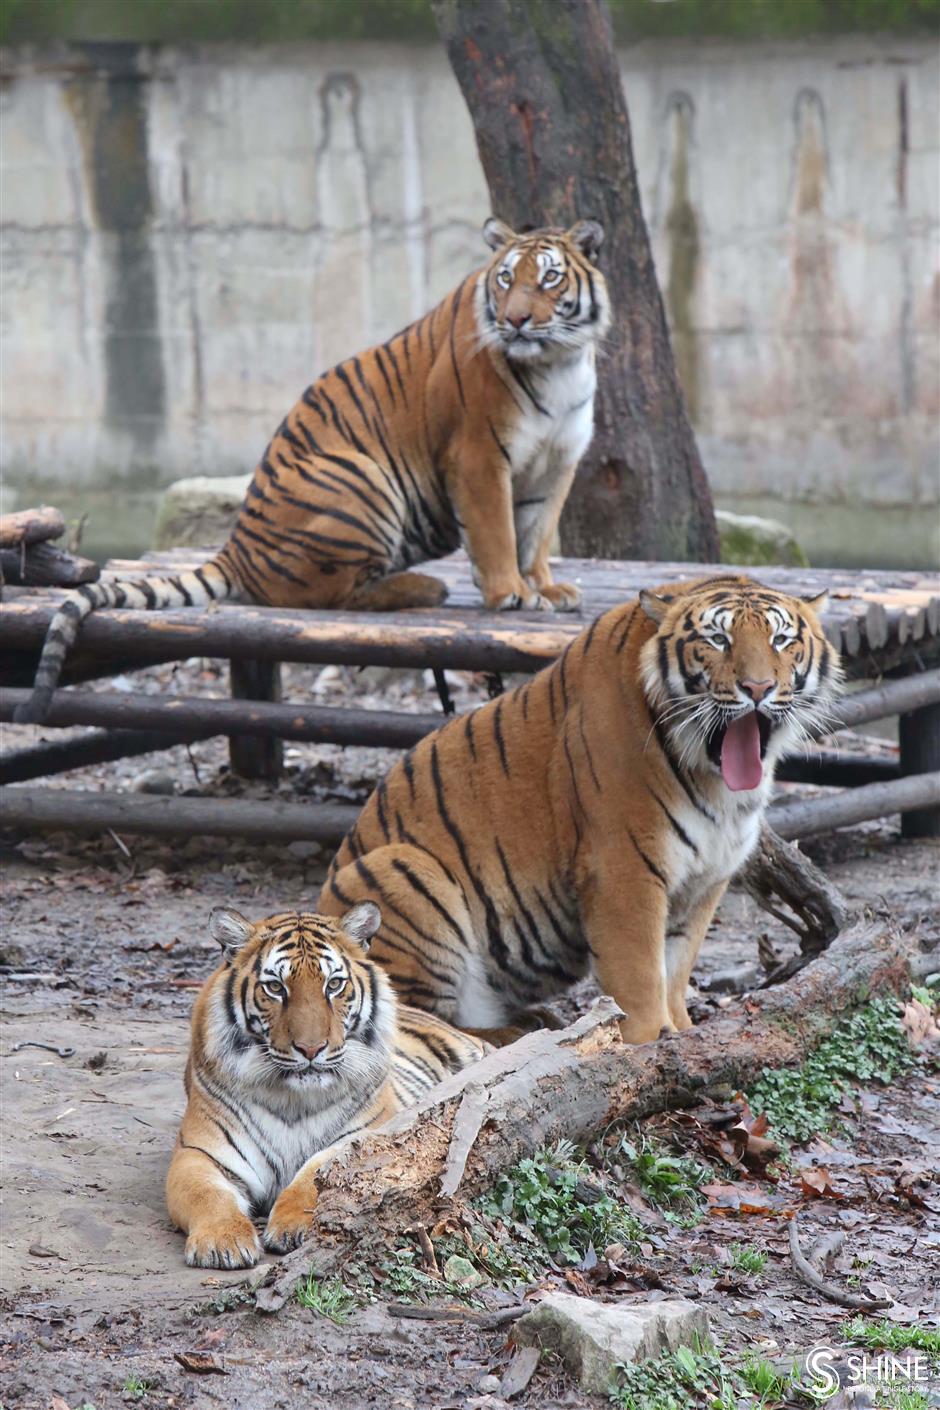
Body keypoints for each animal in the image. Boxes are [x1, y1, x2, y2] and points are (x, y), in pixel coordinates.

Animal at [18, 219, 614, 727]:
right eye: (506, 279)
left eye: (549, 277)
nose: (515, 320)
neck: (559, 364)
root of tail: (236, 548)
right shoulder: (478, 456)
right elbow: (496, 534)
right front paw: (511, 594)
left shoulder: (558, 461)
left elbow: (535, 534)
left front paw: (546, 587)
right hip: (360, 476)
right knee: (331, 596)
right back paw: (425, 587)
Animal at [165, 902, 484, 1269]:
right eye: (275, 987)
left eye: (333, 985)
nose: (311, 1049)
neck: (291, 1097)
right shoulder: (199, 1152)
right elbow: (207, 1194)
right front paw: (222, 1241)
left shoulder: (362, 1137)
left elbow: (313, 1177)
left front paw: (293, 1227)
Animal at [319, 572, 839, 1049]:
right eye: (718, 639)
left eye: (781, 640)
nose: (758, 688)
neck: (716, 786)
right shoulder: (623, 869)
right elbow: (639, 973)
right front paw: (647, 1042)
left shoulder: (706, 879)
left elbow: (676, 968)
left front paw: (684, 1031)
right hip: (400, 867)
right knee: (410, 1021)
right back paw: (519, 1032)